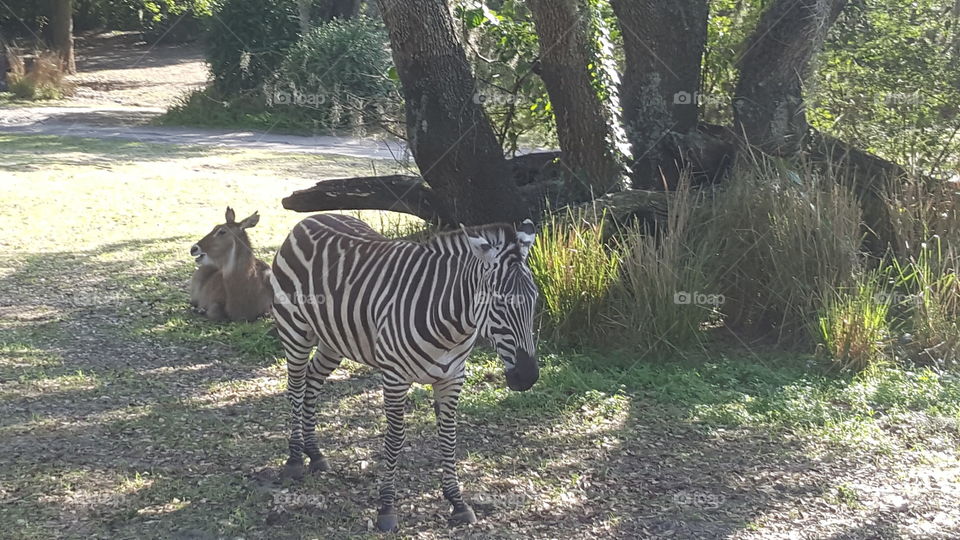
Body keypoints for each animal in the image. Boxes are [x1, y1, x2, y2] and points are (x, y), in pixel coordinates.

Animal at [270, 214, 540, 532]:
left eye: (535, 299)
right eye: (498, 303)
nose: (527, 377)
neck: (452, 325)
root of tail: (310, 220)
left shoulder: (453, 378)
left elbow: (449, 437)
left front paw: (458, 503)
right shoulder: (395, 378)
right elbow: (395, 440)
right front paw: (387, 508)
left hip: (334, 338)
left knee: (313, 380)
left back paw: (315, 453)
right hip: (295, 330)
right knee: (296, 387)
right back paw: (295, 459)